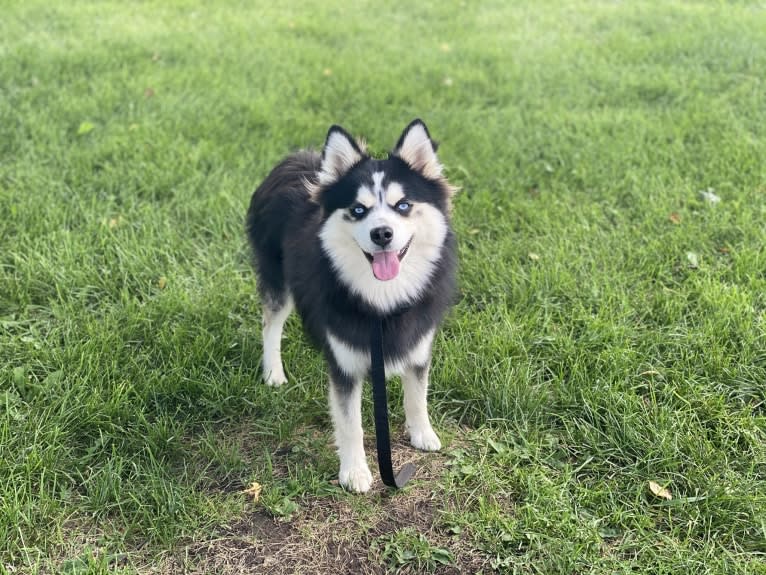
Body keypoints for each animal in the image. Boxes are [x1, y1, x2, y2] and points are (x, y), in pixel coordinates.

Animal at [249, 119, 460, 492]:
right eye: (358, 210)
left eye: (403, 205)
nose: (382, 234)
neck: (382, 301)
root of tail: (294, 160)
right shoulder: (345, 367)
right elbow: (350, 424)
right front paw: (355, 472)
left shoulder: (418, 346)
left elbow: (417, 395)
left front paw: (422, 434)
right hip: (277, 280)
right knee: (270, 324)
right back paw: (273, 371)